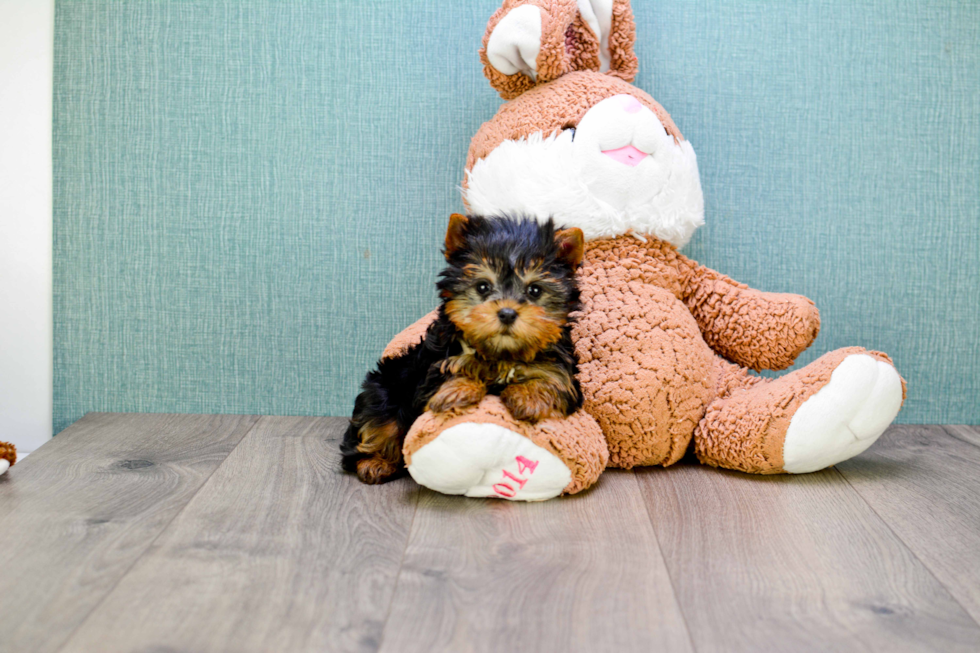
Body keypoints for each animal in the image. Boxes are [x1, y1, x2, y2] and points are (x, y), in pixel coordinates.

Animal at [338, 214, 580, 484]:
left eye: (535, 290)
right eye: (483, 287)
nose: (507, 313)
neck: (500, 353)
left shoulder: (561, 368)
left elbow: (553, 380)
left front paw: (528, 397)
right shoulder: (432, 367)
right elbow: (451, 371)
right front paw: (458, 390)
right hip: (383, 389)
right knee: (378, 424)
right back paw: (375, 463)